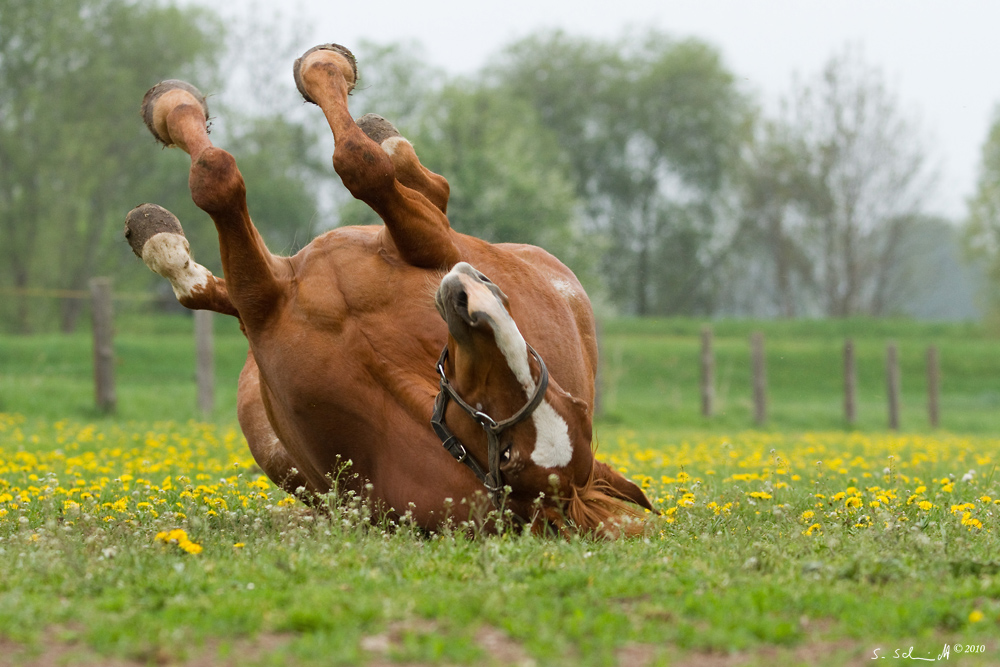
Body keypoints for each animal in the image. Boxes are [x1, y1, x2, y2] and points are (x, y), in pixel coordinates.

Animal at [125, 43, 652, 536]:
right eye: (573, 399)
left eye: (508, 456)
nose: (475, 298)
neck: (383, 361)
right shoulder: (415, 251)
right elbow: (227, 172)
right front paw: (174, 107)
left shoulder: (267, 300)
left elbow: (337, 167)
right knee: (429, 185)